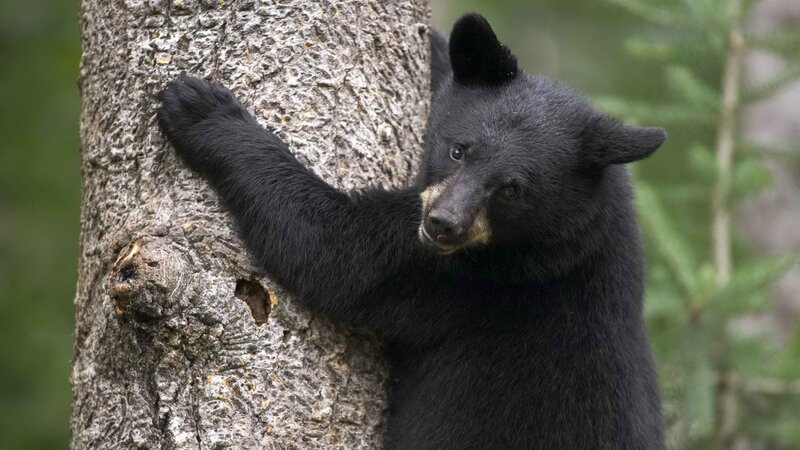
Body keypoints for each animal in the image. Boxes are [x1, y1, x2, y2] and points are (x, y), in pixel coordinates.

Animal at [157, 13, 666, 450]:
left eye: (512, 189)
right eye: (458, 149)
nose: (443, 223)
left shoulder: (476, 278)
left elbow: (336, 253)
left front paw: (203, 111)